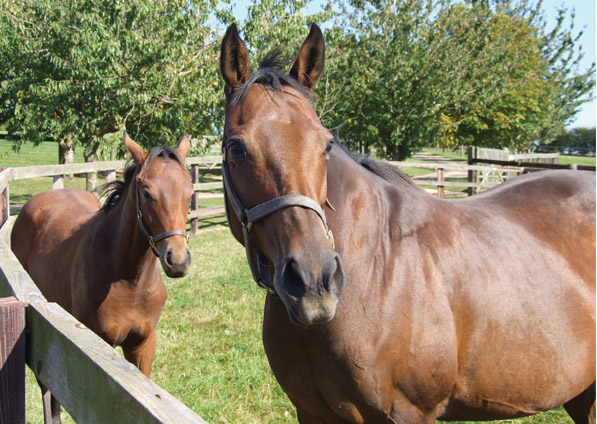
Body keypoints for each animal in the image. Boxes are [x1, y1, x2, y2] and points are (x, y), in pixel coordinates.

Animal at [11, 132, 193, 420]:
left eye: (190, 192)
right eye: (146, 193)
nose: (178, 260)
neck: (130, 282)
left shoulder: (142, 344)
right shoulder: (97, 350)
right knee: (48, 389)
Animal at [220, 24, 596, 424]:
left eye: (326, 145)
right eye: (235, 148)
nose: (314, 281)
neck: (374, 268)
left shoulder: (411, 412)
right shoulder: (310, 412)